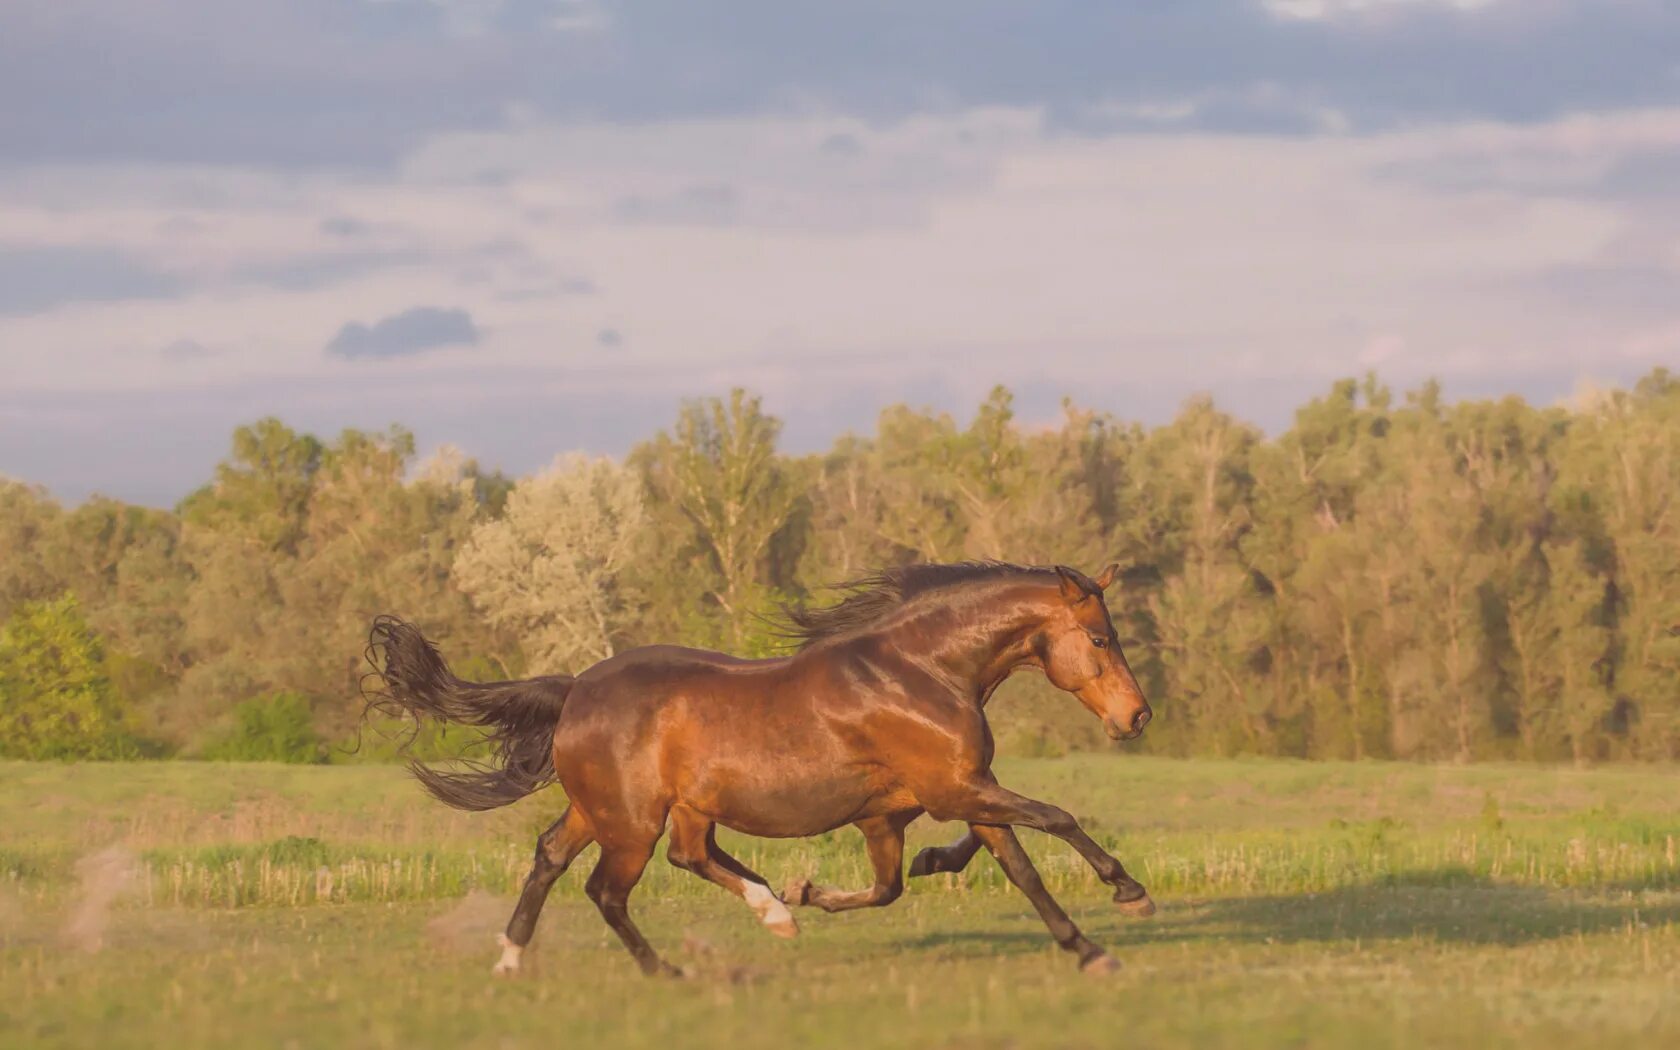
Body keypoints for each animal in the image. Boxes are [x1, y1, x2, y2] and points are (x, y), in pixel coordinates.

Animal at [366, 561, 1155, 981]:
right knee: (608, 889)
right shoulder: (954, 788)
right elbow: (1055, 819)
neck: (920, 672)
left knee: (566, 858)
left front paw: (1088, 951)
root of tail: (575, 691)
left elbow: (982, 872)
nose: (1138, 716)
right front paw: (1129, 894)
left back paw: (513, 959)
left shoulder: (932, 801)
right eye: (1099, 638)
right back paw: (671, 968)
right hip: (631, 821)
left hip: (622, 810)